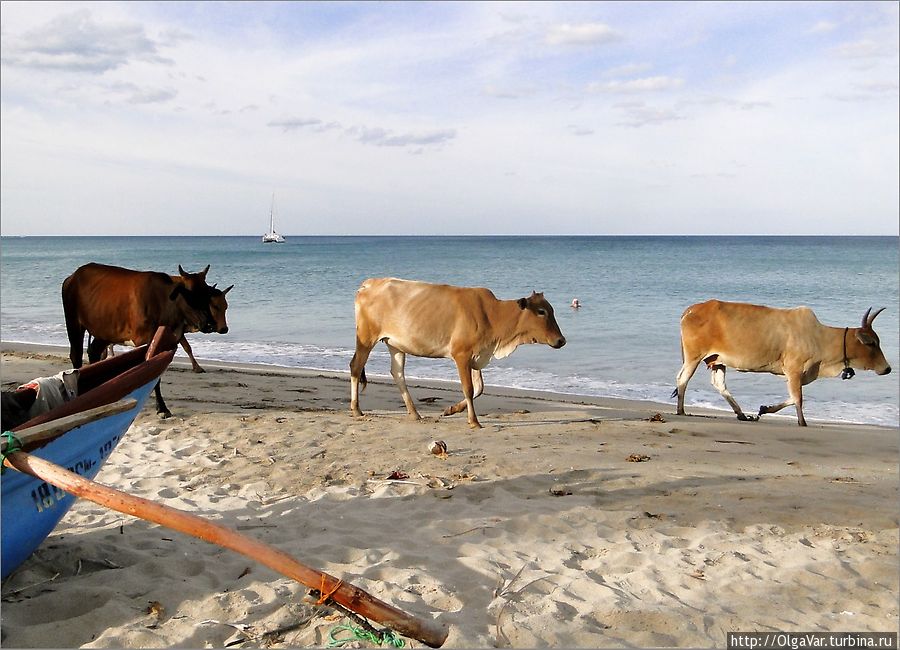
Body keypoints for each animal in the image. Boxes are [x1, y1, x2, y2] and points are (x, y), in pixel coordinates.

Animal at [61, 262, 232, 416]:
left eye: (206, 295)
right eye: (188, 295)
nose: (208, 324)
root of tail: (72, 276)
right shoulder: (147, 340)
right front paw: (162, 408)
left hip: (104, 331)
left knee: (94, 352)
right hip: (74, 323)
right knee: (76, 356)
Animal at [350, 276, 568, 428]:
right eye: (541, 311)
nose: (561, 340)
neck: (492, 316)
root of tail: (368, 284)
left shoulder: (477, 356)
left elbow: (480, 388)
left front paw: (451, 409)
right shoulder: (461, 354)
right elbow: (469, 388)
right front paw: (474, 421)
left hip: (395, 344)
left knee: (397, 373)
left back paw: (414, 413)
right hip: (366, 338)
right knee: (356, 367)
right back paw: (356, 409)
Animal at [672, 298, 888, 426]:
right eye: (872, 343)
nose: (887, 368)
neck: (820, 337)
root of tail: (691, 309)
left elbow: (793, 397)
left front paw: (763, 409)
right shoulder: (794, 370)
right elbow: (798, 398)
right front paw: (802, 422)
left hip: (716, 360)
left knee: (719, 384)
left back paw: (741, 414)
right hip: (694, 356)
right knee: (682, 379)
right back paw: (681, 410)